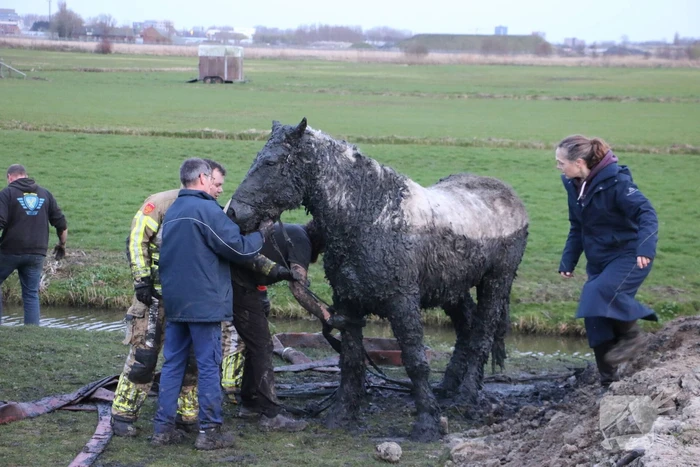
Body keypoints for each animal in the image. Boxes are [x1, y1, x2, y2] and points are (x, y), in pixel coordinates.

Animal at [228, 118, 529, 441]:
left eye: (270, 162)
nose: (233, 212)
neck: (372, 218)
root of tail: (511, 198)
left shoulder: (402, 302)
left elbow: (415, 360)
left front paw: (426, 424)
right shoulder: (348, 302)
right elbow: (351, 359)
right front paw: (342, 414)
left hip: (496, 282)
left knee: (482, 336)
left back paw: (466, 398)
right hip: (453, 289)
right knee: (467, 329)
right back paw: (447, 389)